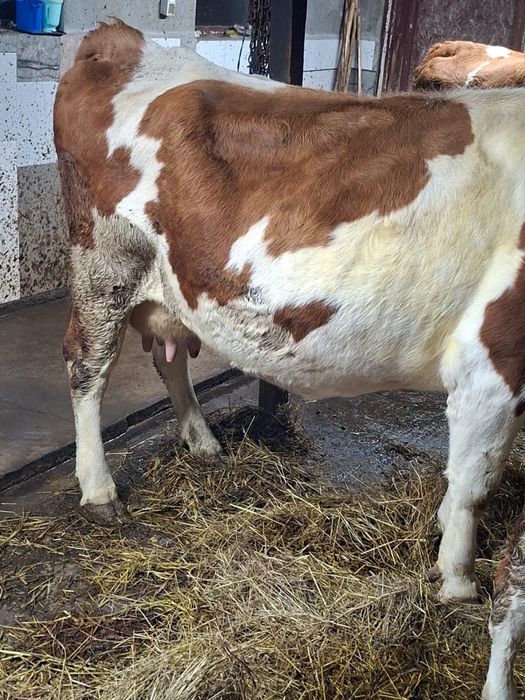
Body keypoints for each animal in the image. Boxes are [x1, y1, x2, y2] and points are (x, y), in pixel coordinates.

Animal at [54, 18, 525, 638]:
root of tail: (119, 39)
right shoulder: (492, 358)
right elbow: (477, 481)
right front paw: (458, 583)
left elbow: (466, 478)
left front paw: (443, 538)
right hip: (103, 263)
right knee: (88, 367)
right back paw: (98, 488)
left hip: (172, 285)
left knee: (169, 354)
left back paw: (203, 441)